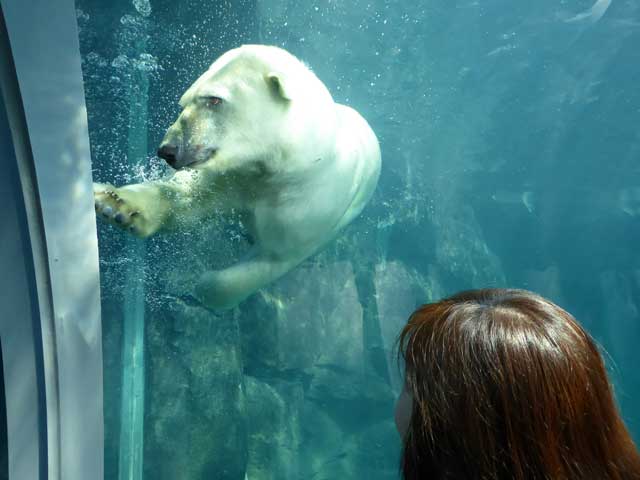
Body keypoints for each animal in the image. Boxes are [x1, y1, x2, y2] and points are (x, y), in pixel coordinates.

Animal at [95, 44, 380, 308]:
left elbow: (271, 258)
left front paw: (202, 287)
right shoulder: (235, 175)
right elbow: (189, 198)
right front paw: (115, 204)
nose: (168, 150)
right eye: (184, 101)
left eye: (214, 100)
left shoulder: (304, 206)